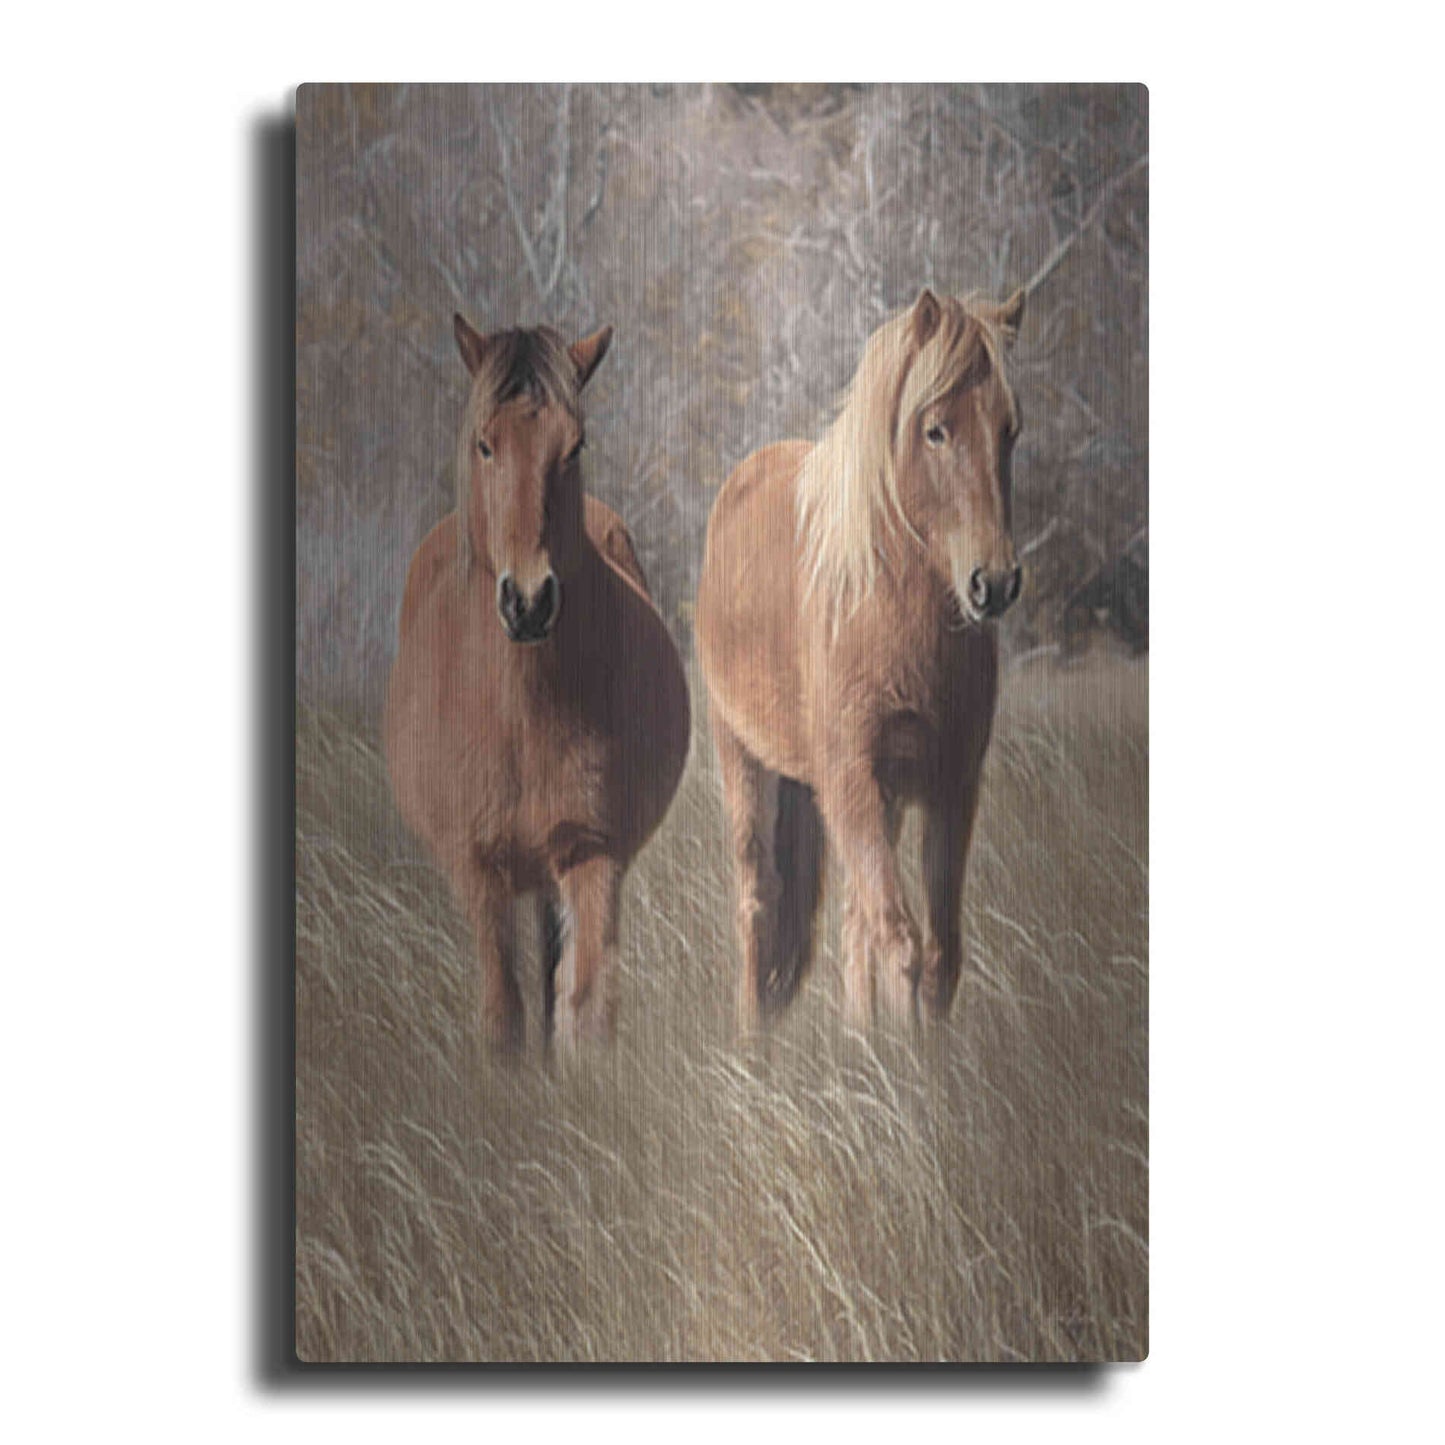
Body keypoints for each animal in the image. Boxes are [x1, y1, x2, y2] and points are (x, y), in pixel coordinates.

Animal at [384, 317, 690, 1052]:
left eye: (573, 446)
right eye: (485, 443)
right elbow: (503, 1017)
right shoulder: (479, 868)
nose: (527, 602)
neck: (520, 710)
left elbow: (586, 1008)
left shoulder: (591, 852)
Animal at [695, 287, 1027, 1033]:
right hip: (744, 759)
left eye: (1009, 430)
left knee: (852, 923)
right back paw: (751, 1044)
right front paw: (902, 1061)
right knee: (758, 902)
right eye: (935, 430)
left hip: (879, 795)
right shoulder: (850, 776)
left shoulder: (948, 783)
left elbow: (937, 951)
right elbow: (899, 941)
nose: (992, 584)